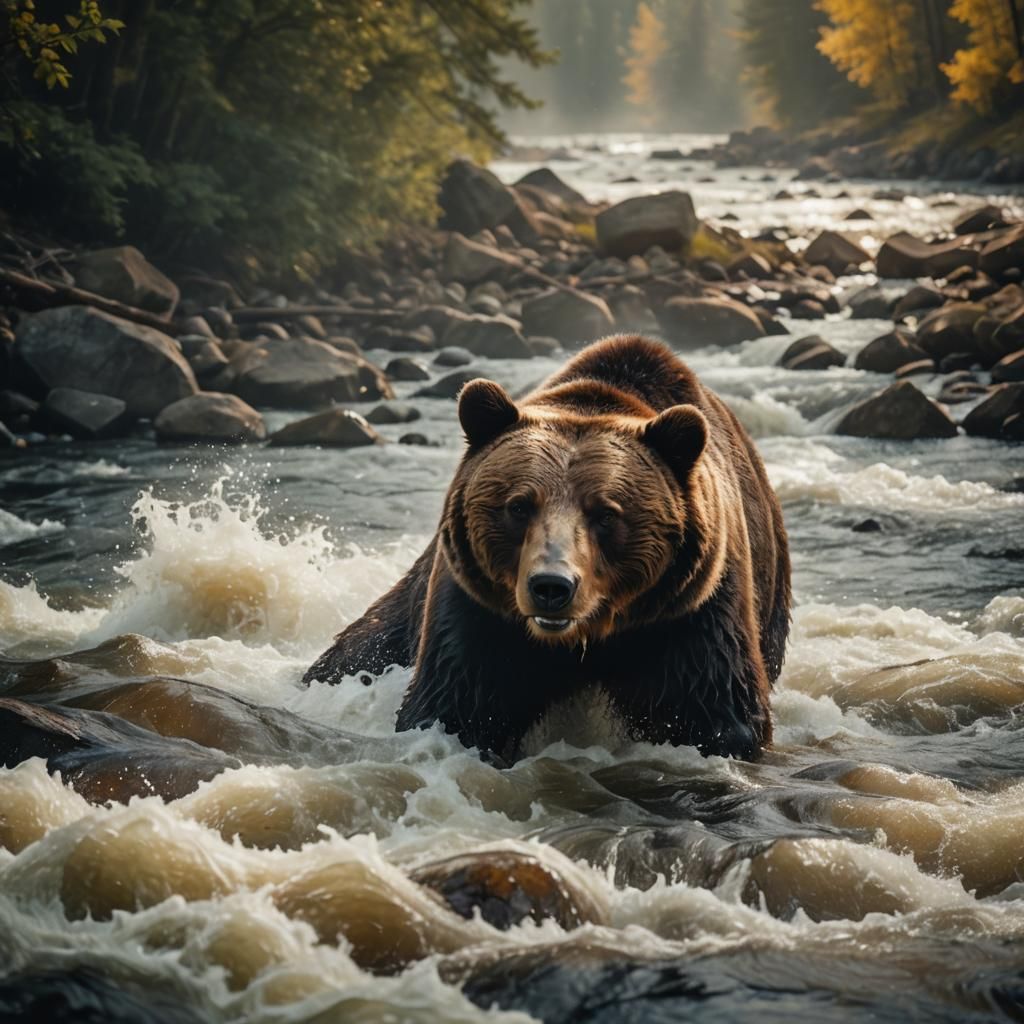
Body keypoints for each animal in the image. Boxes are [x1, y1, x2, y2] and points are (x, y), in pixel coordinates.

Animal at [303, 334, 791, 764]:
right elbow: (456, 705)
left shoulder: (689, 613)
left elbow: (712, 715)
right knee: (358, 652)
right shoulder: (479, 612)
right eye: (519, 505)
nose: (551, 587)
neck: (580, 642)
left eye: (606, 514)